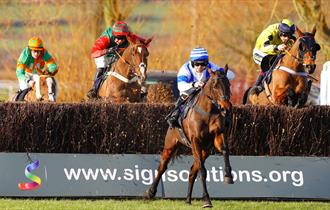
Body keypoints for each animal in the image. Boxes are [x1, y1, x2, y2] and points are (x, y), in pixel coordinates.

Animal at [144, 66, 235, 208]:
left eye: (228, 84)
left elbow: (225, 150)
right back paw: (150, 192)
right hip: (171, 144)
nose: (226, 107)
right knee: (162, 166)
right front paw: (206, 200)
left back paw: (188, 199)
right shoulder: (195, 140)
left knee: (193, 170)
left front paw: (228, 176)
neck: (207, 112)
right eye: (214, 85)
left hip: (205, 150)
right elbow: (203, 171)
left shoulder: (217, 135)